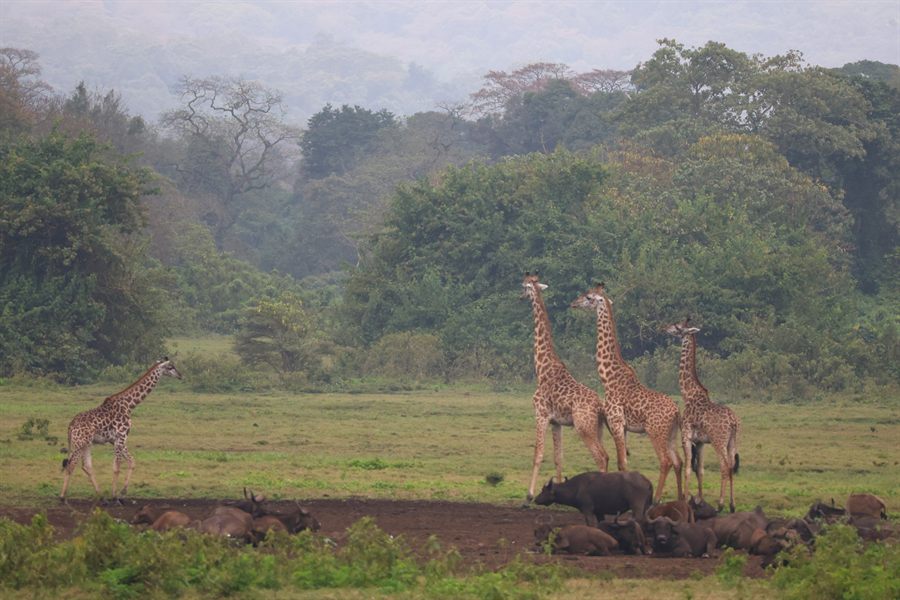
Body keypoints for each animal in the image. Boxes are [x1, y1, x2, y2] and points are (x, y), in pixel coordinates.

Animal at [59, 357, 182, 502]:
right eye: (170, 367)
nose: (180, 375)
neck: (129, 405)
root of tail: (70, 425)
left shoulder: (116, 440)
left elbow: (131, 461)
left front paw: (123, 492)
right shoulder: (121, 436)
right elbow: (117, 467)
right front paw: (115, 496)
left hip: (86, 443)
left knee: (86, 466)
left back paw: (101, 495)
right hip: (79, 443)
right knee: (71, 465)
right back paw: (63, 497)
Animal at [521, 273, 610, 502]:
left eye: (523, 287)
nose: (519, 296)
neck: (542, 368)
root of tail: (600, 406)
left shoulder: (541, 414)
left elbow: (538, 454)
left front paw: (529, 496)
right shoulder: (556, 422)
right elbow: (558, 457)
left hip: (583, 427)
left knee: (601, 457)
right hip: (597, 428)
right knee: (606, 455)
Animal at [571, 283, 684, 503]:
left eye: (589, 297)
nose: (574, 303)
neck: (608, 378)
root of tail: (676, 412)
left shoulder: (616, 422)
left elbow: (622, 462)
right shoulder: (622, 427)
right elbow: (622, 461)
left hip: (655, 431)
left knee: (665, 461)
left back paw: (656, 499)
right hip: (671, 434)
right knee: (679, 462)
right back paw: (683, 498)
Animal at [665, 317, 741, 513]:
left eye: (677, 326)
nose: (665, 328)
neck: (688, 393)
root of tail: (734, 422)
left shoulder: (686, 436)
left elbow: (688, 468)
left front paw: (686, 499)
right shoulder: (700, 442)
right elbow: (700, 470)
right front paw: (699, 500)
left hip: (718, 440)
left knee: (724, 466)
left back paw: (721, 504)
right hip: (732, 441)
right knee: (731, 466)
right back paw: (732, 505)